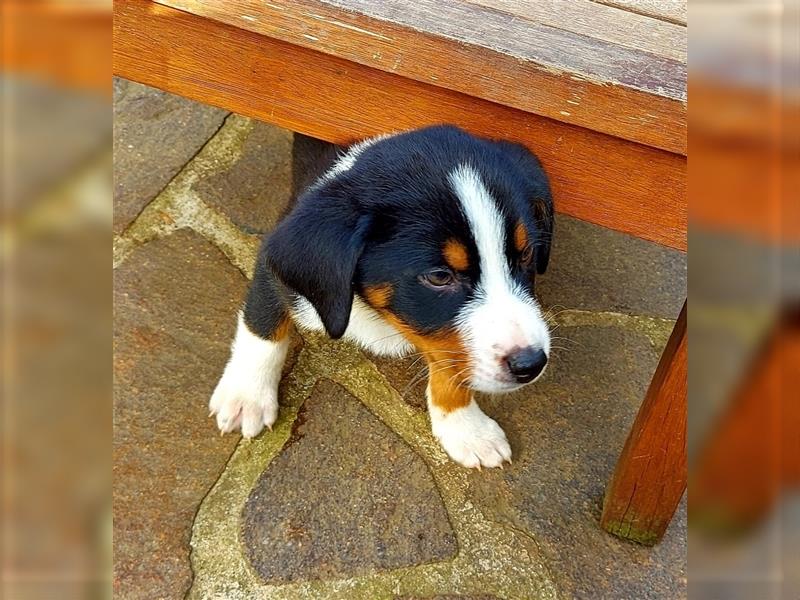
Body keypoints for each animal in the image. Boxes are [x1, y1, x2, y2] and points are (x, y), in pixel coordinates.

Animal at [209, 126, 552, 472]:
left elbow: (448, 363)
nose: (531, 364)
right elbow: (262, 326)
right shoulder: (274, 265)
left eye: (526, 254)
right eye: (439, 276)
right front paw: (247, 396)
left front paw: (465, 427)